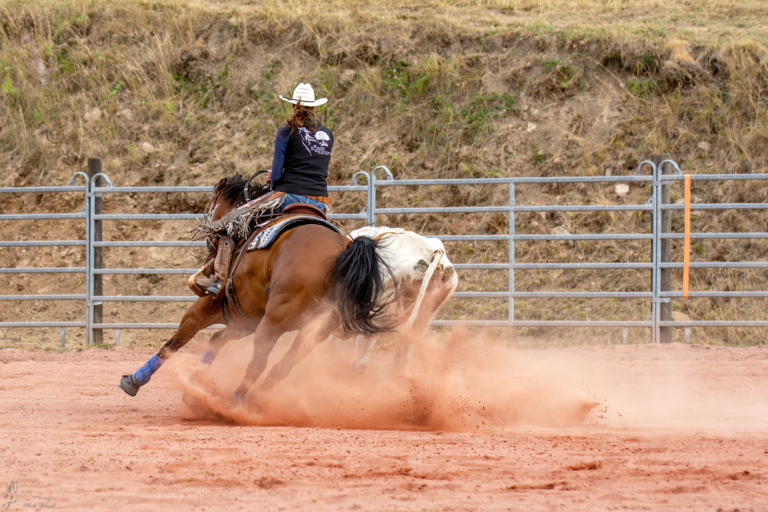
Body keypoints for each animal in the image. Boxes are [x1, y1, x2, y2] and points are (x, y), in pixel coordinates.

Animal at [118, 174, 396, 400]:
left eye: (212, 205)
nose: (210, 244)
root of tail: (340, 253)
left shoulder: (207, 307)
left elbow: (174, 342)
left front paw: (135, 380)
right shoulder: (244, 320)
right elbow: (216, 340)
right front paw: (197, 381)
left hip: (274, 322)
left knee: (259, 363)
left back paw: (233, 402)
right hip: (315, 329)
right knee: (283, 366)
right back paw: (252, 400)